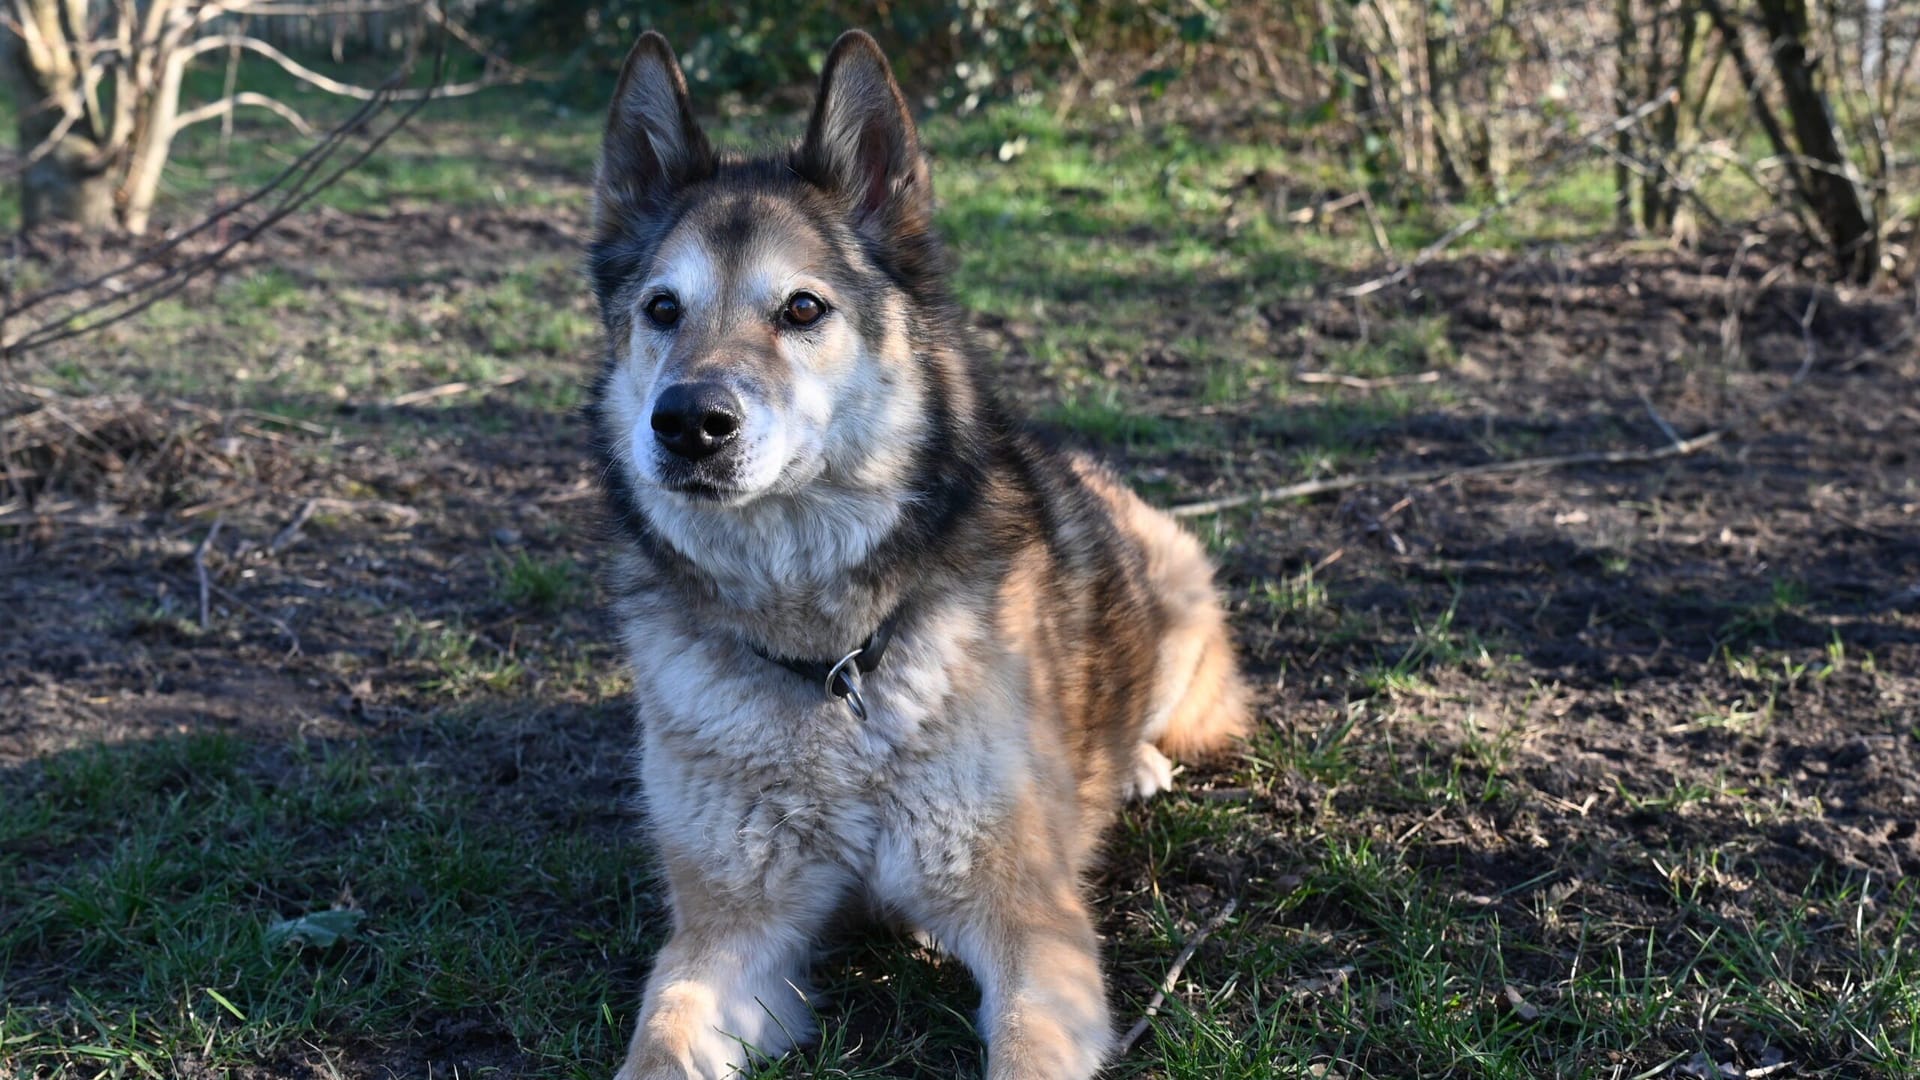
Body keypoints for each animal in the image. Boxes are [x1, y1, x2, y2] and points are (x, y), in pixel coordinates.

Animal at [583, 27, 1244, 1076]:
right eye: (661, 310)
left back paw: (1136, 763)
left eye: (802, 310)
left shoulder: (1031, 925)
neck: (829, 665)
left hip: (1180, 594)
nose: (688, 423)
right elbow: (662, 1042)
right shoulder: (730, 931)